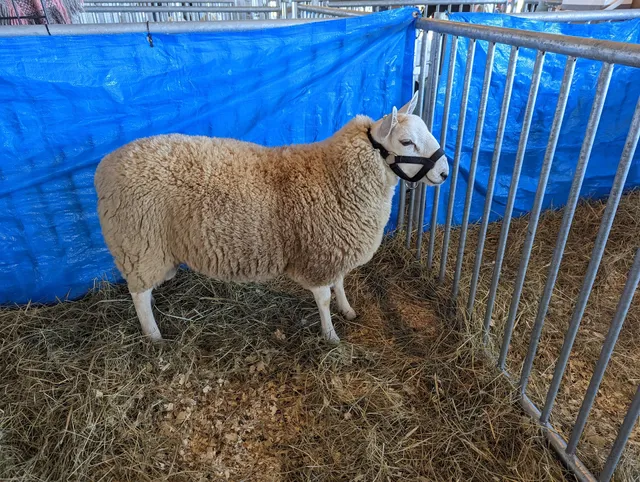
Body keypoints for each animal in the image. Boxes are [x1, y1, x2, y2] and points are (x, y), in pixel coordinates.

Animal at [94, 91, 449, 343]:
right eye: (406, 142)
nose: (445, 173)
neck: (336, 176)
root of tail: (104, 167)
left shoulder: (334, 248)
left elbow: (340, 283)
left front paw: (347, 310)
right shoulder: (318, 252)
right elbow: (323, 298)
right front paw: (330, 336)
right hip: (139, 245)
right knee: (139, 296)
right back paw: (154, 337)